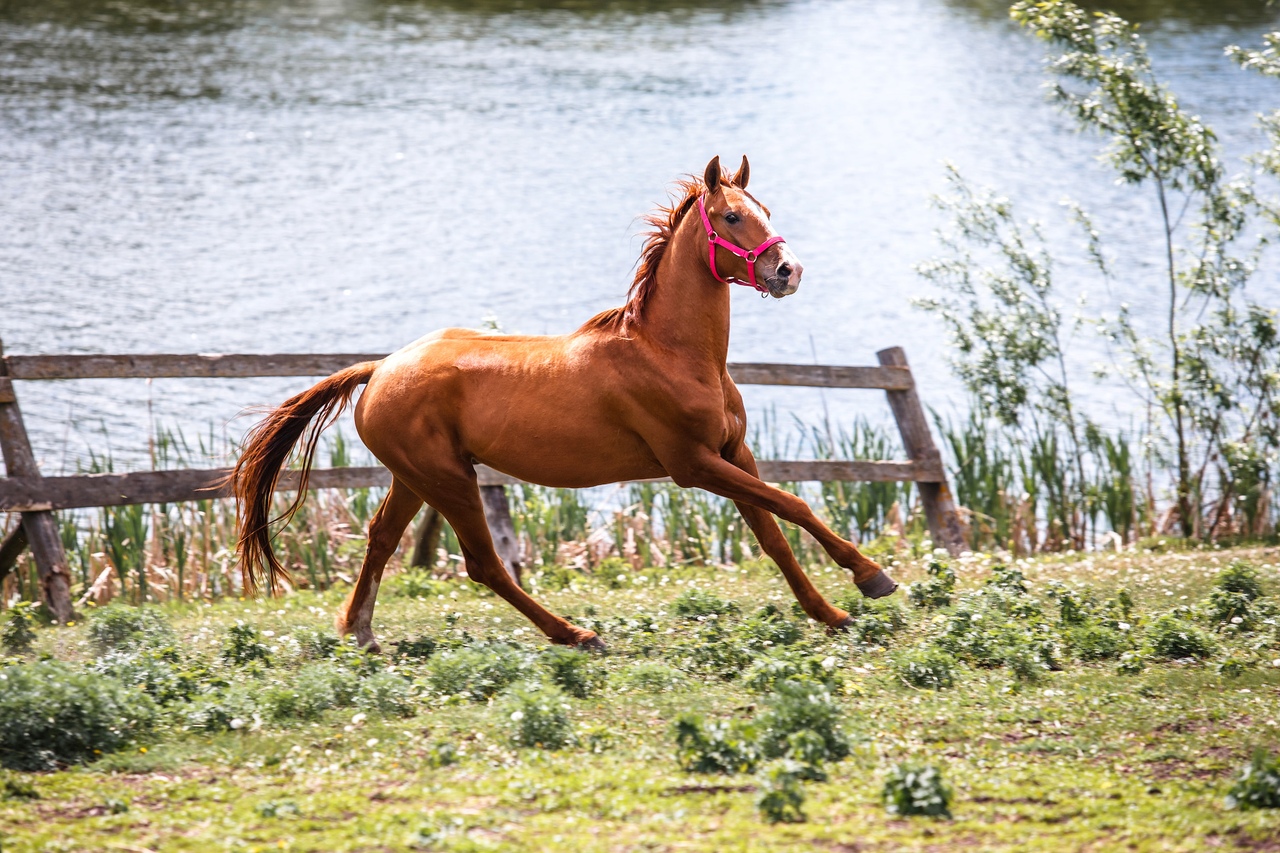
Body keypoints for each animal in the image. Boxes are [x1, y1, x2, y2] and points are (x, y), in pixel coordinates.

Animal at [230, 156, 901, 648]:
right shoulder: (693, 465)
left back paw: (360, 632)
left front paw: (832, 613)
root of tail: (380, 369)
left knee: (381, 540)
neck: (672, 354)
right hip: (449, 480)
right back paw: (576, 634)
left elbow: (775, 533)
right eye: (732, 217)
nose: (789, 271)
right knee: (483, 564)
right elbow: (794, 504)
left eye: (765, 211)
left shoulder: (735, 454)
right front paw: (871, 577)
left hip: (415, 478)